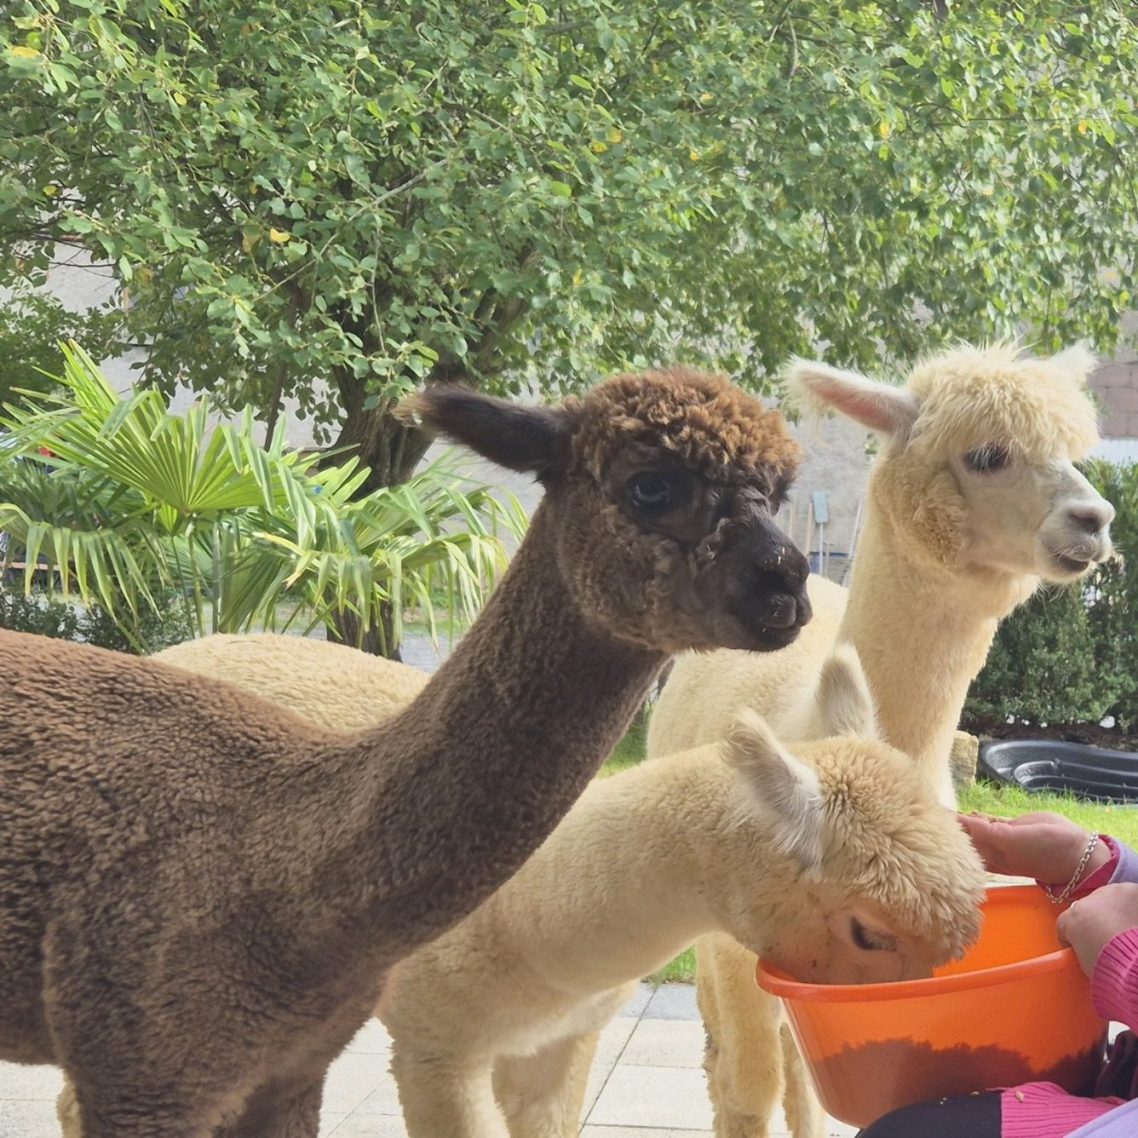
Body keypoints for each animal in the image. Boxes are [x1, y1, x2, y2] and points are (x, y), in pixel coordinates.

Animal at [0, 367, 811, 1138]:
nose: (788, 582)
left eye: (778, 492)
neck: (281, 857)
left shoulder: (294, 1062)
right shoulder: (147, 1068)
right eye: (651, 486)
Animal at [647, 343, 1116, 1137]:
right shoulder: (737, 941)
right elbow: (748, 1090)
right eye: (987, 454)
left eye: (1073, 451)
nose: (1096, 518)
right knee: (734, 1059)